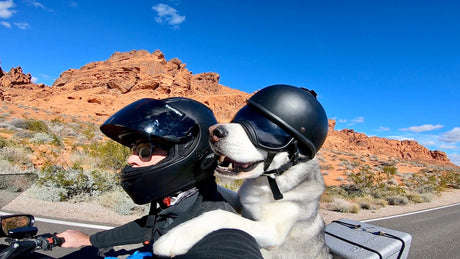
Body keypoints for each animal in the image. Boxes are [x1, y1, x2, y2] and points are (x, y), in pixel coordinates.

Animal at [154, 122, 330, 259]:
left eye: (267, 133)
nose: (213, 132)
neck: (267, 184)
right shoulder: (241, 200)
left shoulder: (273, 232)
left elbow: (221, 215)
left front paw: (178, 235)